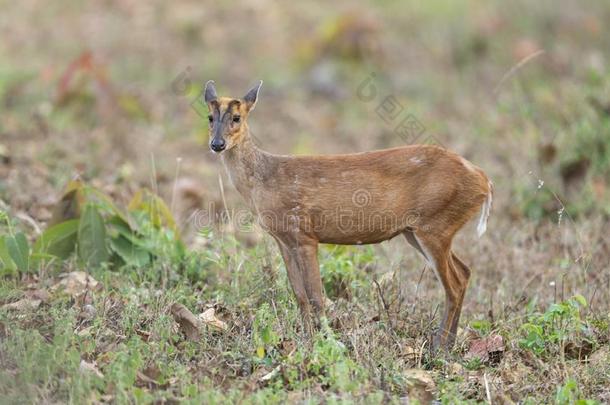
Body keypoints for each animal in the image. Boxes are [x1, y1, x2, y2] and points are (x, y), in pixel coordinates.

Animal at [202, 79, 492, 350]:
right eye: (210, 117)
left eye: (237, 117)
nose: (217, 144)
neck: (265, 181)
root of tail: (484, 180)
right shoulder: (283, 239)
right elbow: (300, 295)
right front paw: (306, 340)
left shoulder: (305, 234)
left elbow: (316, 296)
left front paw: (327, 343)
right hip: (420, 230)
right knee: (464, 273)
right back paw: (449, 343)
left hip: (435, 224)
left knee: (454, 284)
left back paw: (439, 347)